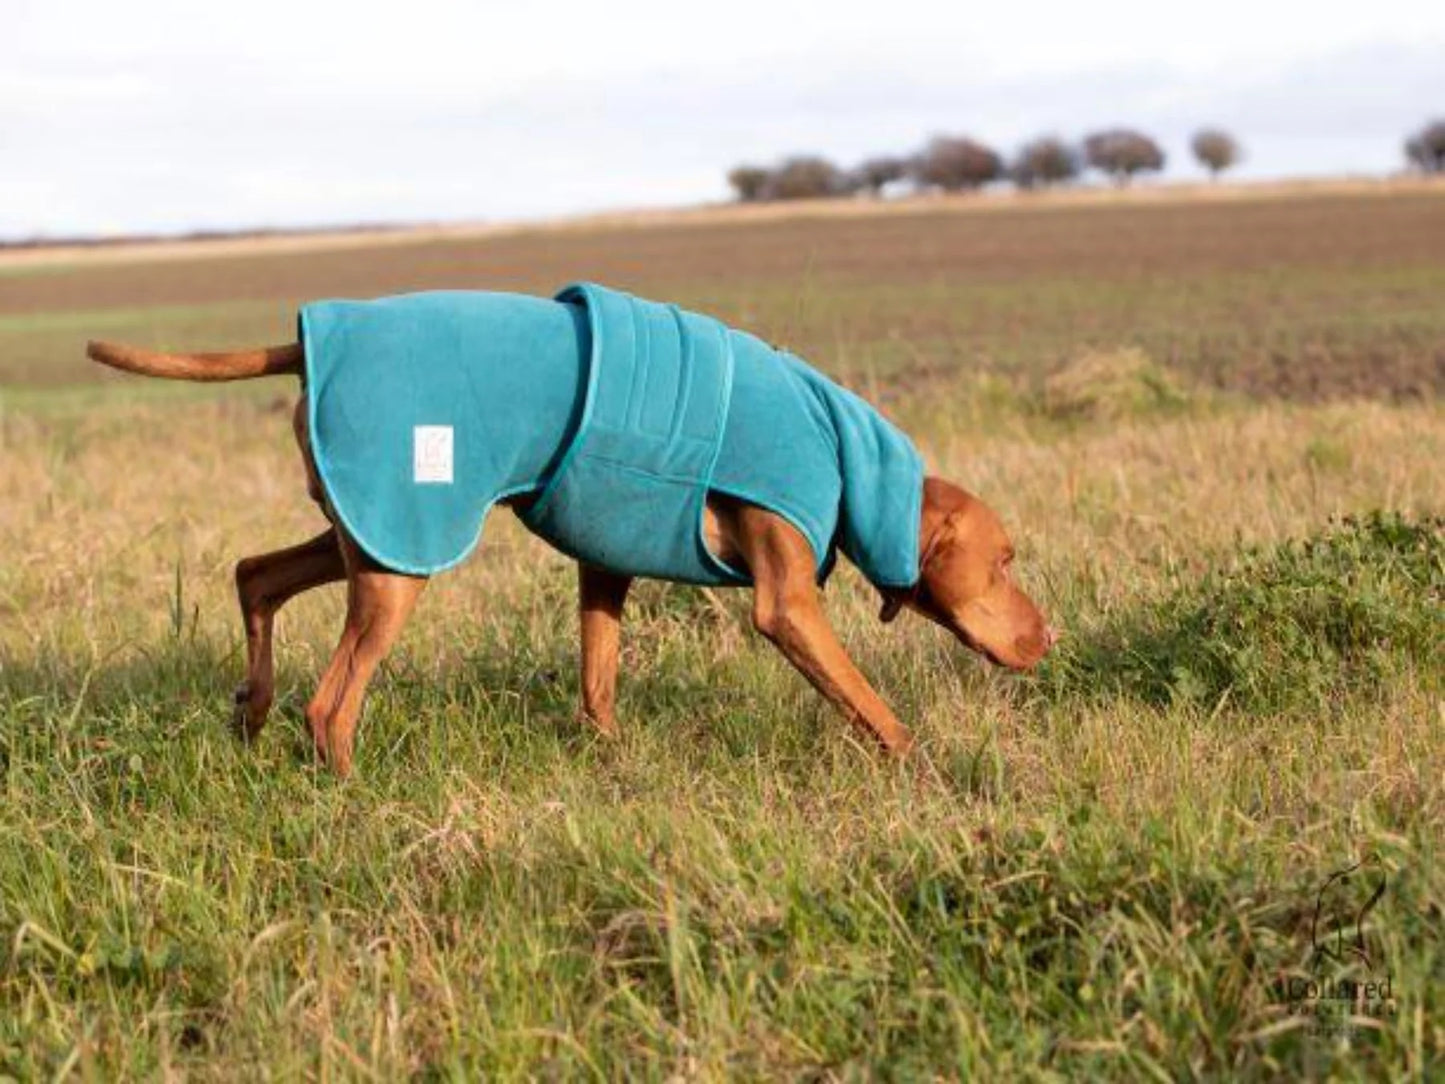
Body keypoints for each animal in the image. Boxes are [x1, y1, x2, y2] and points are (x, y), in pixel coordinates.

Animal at [90, 335, 1057, 774]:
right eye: (1006, 560)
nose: (1047, 639)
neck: (849, 461)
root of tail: (312, 337)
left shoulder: (606, 564)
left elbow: (598, 683)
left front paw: (613, 760)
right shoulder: (785, 604)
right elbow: (866, 701)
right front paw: (923, 764)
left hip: (363, 534)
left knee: (255, 575)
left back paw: (250, 714)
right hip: (399, 559)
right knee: (330, 706)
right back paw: (348, 790)